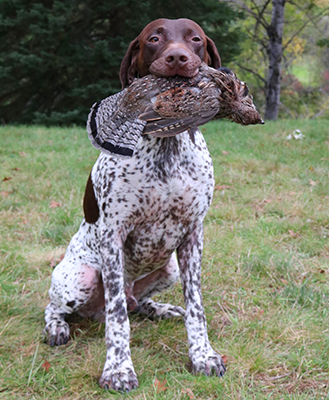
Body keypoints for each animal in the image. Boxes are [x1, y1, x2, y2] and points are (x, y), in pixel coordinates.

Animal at [44, 18, 226, 390]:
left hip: (169, 268)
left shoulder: (193, 235)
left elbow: (196, 306)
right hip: (78, 277)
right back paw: (57, 327)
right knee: (61, 307)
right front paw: (117, 368)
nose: (177, 58)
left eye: (195, 39)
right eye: (154, 39)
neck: (167, 145)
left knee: (137, 302)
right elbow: (117, 316)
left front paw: (203, 355)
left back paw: (162, 309)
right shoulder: (113, 235)